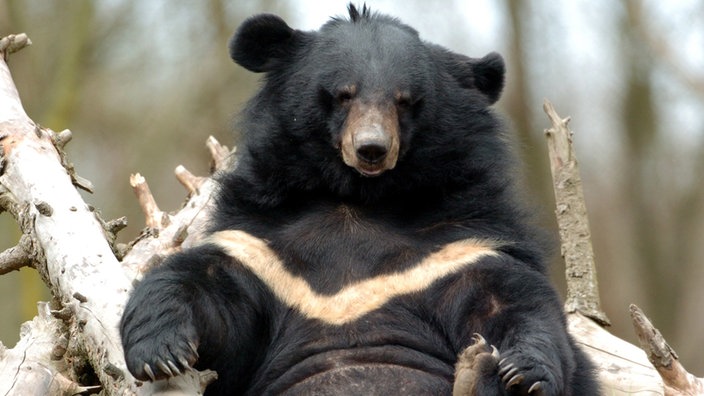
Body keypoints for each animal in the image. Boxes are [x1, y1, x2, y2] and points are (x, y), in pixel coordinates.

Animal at [119, 3, 600, 396]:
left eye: (405, 100)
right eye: (342, 93)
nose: (371, 148)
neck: (356, 199)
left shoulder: (460, 246)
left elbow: (515, 301)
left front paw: (522, 372)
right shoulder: (261, 250)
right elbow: (202, 286)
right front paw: (161, 353)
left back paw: (477, 375)